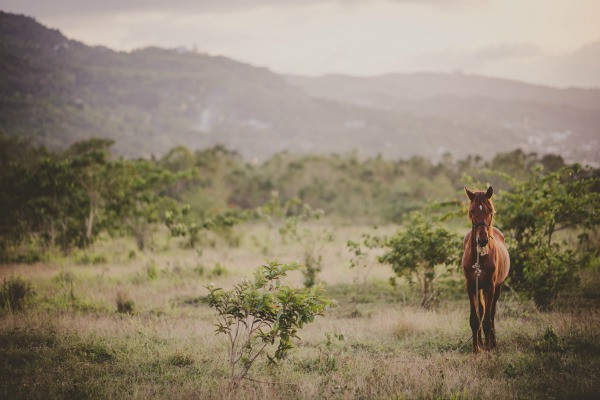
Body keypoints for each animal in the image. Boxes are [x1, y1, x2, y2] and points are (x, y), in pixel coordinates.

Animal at [462, 186, 508, 352]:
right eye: (472, 211)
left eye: (490, 211)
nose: (482, 240)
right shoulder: (471, 286)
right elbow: (475, 319)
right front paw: (476, 349)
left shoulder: (490, 286)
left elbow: (488, 320)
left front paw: (488, 349)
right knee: (481, 311)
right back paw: (482, 343)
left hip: (497, 287)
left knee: (491, 313)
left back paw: (492, 342)